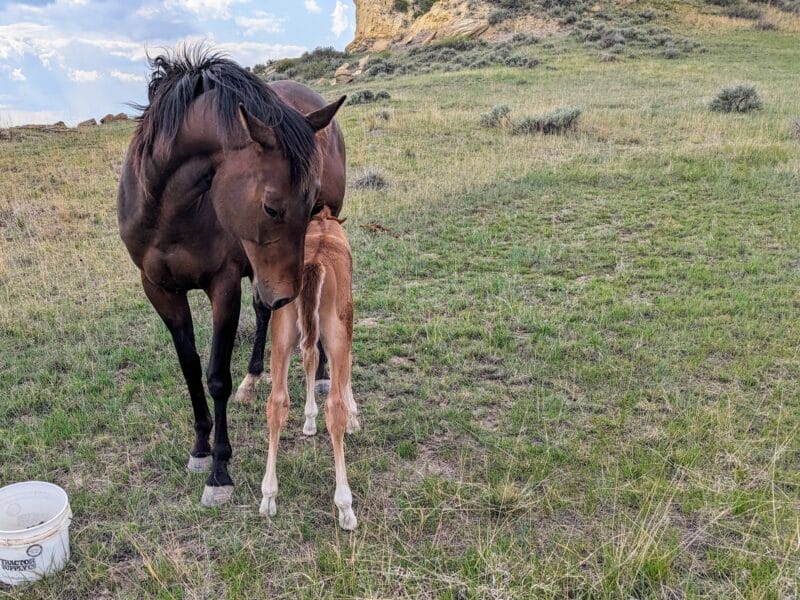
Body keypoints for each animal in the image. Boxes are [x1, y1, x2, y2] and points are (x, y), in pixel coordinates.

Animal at [260, 206, 360, 528]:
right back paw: (345, 507)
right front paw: (354, 419)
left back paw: (268, 497)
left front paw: (308, 421)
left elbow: (310, 360)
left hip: (281, 335)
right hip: (337, 329)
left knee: (277, 401)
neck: (324, 228)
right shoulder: (345, 328)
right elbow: (345, 371)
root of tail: (314, 263)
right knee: (335, 406)